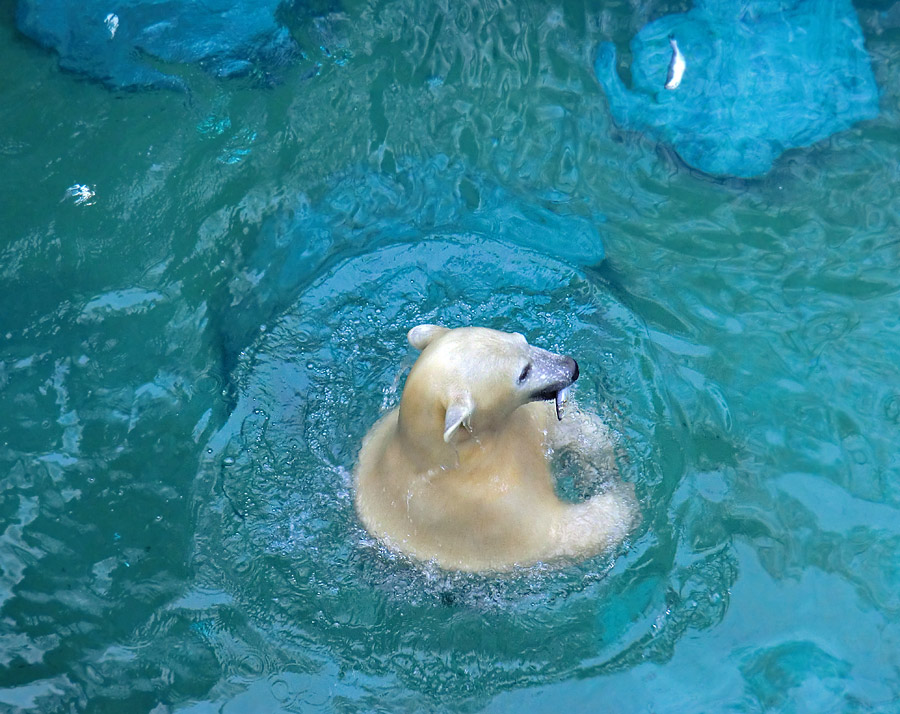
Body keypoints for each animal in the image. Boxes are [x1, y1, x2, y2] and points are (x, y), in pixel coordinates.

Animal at [354, 326, 640, 572]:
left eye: (522, 338)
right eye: (523, 373)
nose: (572, 367)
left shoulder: (519, 423)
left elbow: (562, 427)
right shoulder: (494, 508)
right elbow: (556, 530)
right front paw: (619, 497)